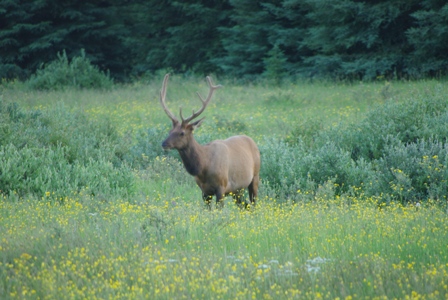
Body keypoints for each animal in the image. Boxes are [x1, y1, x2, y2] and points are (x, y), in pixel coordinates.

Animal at [159, 74, 260, 209]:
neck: (203, 167)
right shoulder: (204, 191)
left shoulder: (222, 187)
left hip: (255, 177)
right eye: (170, 131)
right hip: (237, 190)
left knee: (254, 204)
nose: (164, 144)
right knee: (245, 206)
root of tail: (252, 141)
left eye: (182, 133)